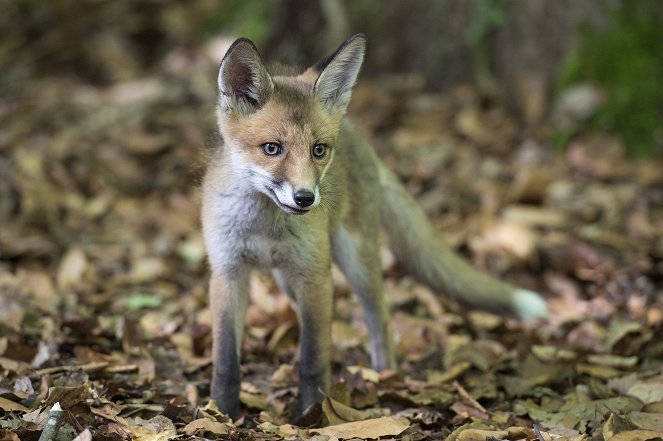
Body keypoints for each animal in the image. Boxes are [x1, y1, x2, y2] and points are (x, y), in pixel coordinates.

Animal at [201, 33, 544, 416]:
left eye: (318, 150)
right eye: (272, 148)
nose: (305, 198)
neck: (263, 226)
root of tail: (361, 138)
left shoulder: (315, 275)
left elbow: (313, 357)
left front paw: (314, 412)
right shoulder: (228, 272)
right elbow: (226, 361)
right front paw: (221, 412)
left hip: (353, 263)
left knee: (379, 314)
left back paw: (386, 377)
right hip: (291, 280)